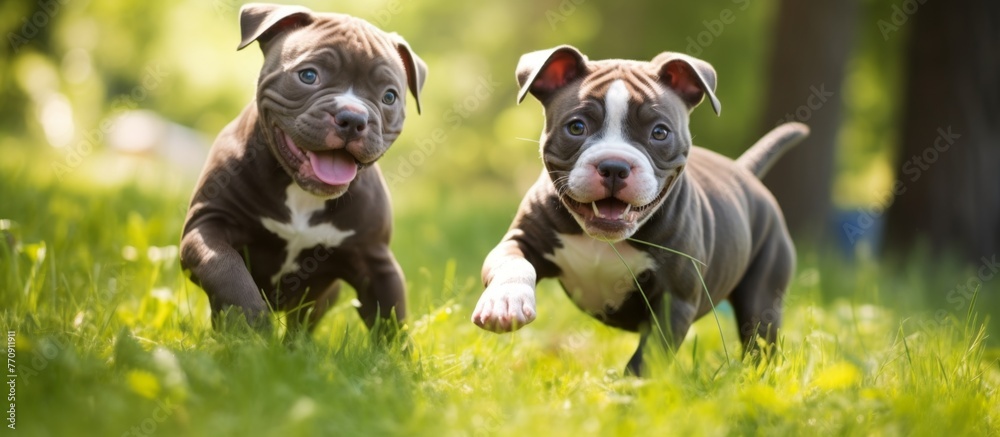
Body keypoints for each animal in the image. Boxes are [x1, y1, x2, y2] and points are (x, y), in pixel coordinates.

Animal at [180, 3, 426, 334]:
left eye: (389, 96)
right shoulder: (207, 225)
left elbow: (391, 321)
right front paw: (253, 326)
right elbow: (226, 269)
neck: (300, 192)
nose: (353, 118)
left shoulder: (376, 261)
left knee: (303, 324)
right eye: (309, 75)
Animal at [472, 45, 808, 374]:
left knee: (759, 338)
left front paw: (630, 388)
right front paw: (505, 301)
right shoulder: (521, 240)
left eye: (660, 132)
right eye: (576, 127)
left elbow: (648, 355)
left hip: (763, 293)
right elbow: (514, 264)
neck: (604, 241)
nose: (614, 166)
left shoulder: (675, 300)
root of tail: (745, 172)